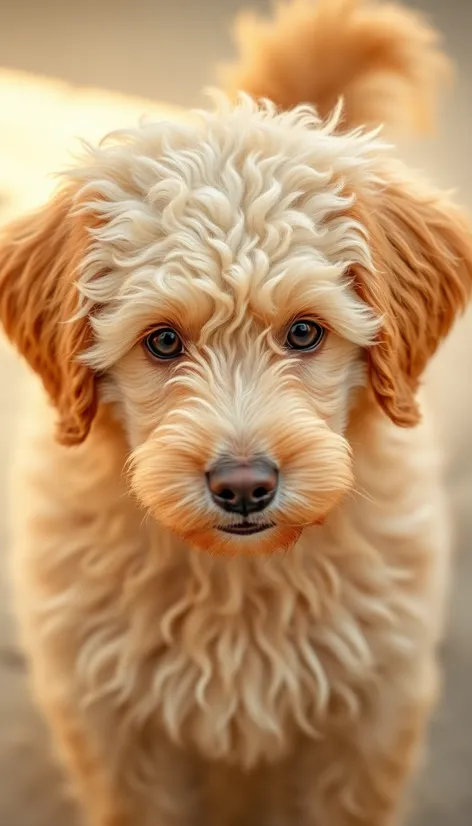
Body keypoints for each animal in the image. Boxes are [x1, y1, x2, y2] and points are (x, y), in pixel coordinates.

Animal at [0, 1, 472, 824]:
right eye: (163, 341)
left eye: (305, 333)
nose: (244, 486)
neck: (238, 583)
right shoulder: (115, 730)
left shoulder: (369, 717)